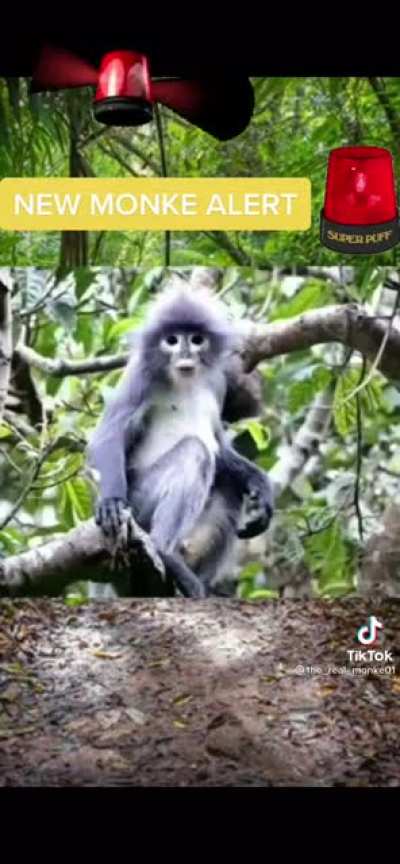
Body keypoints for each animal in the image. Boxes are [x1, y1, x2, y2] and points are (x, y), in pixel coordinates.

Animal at [88, 286, 273, 598]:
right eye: (171, 340)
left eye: (196, 339)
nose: (185, 352)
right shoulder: (141, 374)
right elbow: (108, 435)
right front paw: (110, 502)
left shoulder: (217, 382)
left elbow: (219, 445)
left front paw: (261, 486)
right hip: (139, 503)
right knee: (194, 452)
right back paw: (166, 553)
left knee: (227, 482)